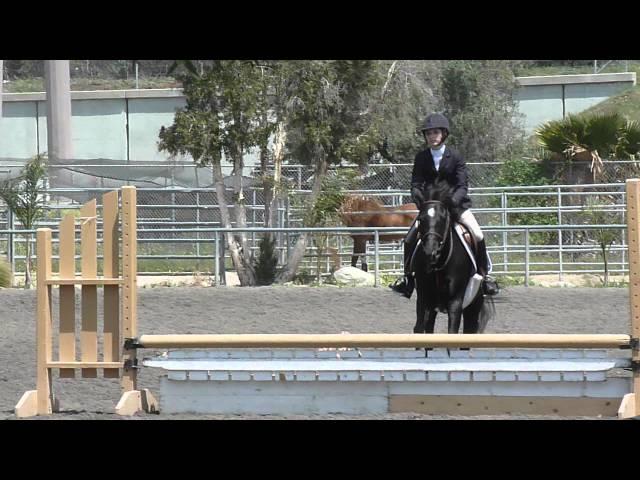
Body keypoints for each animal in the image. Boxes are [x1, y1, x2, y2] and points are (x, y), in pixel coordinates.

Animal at [410, 178, 496, 340]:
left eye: (443, 218)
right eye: (421, 219)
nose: (431, 253)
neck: (439, 264)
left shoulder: (455, 303)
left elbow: (452, 332)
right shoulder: (424, 301)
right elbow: (419, 330)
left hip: (473, 306)